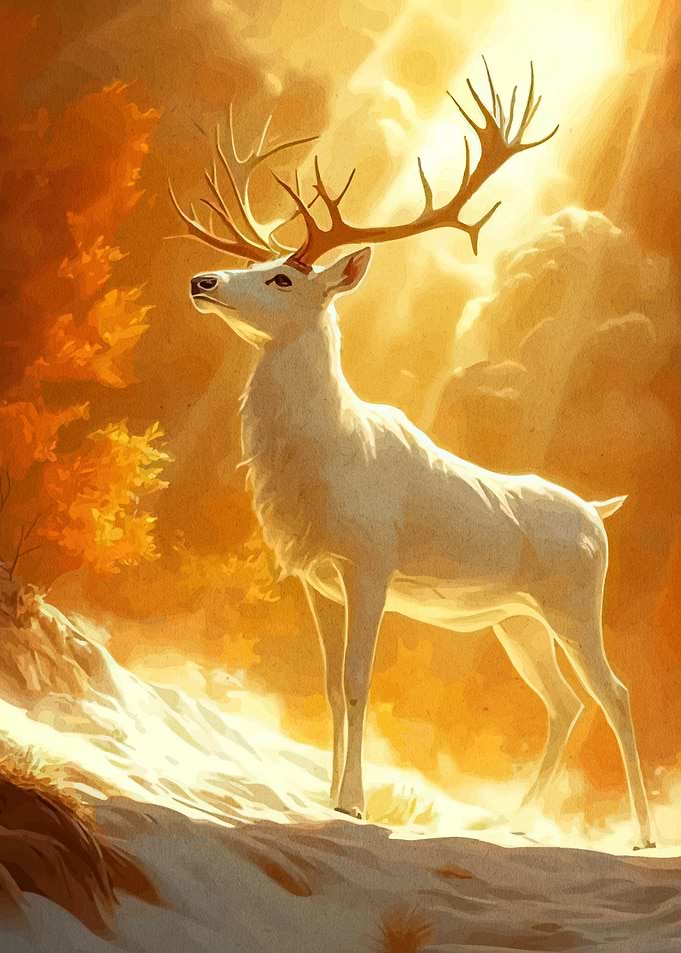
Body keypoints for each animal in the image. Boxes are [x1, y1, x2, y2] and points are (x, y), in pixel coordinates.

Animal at [171, 61, 654, 849]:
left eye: (283, 276)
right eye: (260, 261)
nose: (201, 280)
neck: (324, 460)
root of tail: (598, 510)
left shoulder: (371, 561)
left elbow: (361, 681)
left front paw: (352, 803)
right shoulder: (315, 576)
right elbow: (327, 685)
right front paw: (322, 791)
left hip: (576, 604)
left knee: (613, 692)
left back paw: (640, 834)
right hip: (515, 620)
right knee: (564, 703)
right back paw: (513, 818)